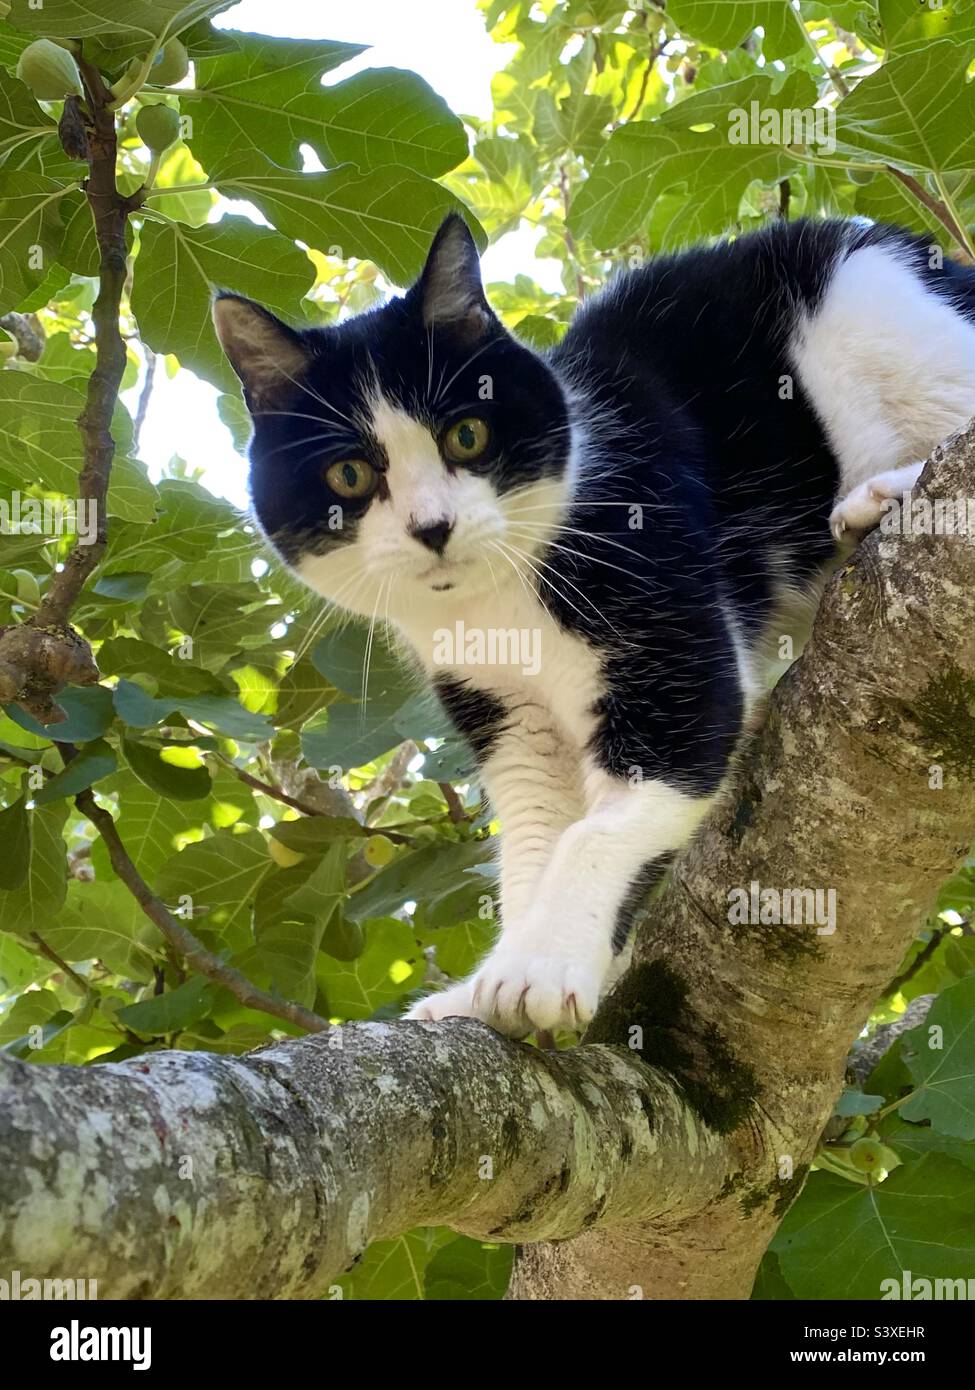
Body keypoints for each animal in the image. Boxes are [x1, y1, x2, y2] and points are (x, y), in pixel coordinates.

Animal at [211, 214, 973, 1034]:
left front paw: (539, 968)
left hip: (869, 300)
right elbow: (534, 832)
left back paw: (884, 492)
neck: (498, 606)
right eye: (349, 475)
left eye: (467, 436)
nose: (432, 527)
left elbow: (607, 818)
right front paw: (492, 983)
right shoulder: (501, 707)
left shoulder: (664, 619)